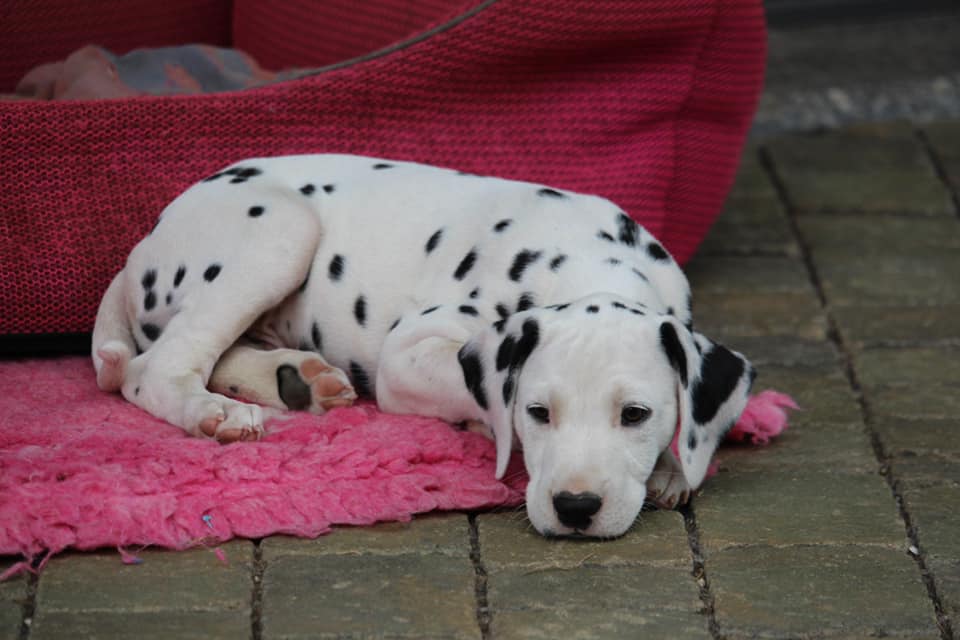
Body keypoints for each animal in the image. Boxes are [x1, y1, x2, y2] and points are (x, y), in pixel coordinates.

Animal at [95, 154, 756, 536]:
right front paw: (484, 426)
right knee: (155, 368)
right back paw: (215, 412)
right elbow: (472, 392)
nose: (575, 508)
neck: (588, 260)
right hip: (280, 229)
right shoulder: (406, 356)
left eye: (636, 414)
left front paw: (673, 464)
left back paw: (295, 380)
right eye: (537, 412)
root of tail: (139, 248)